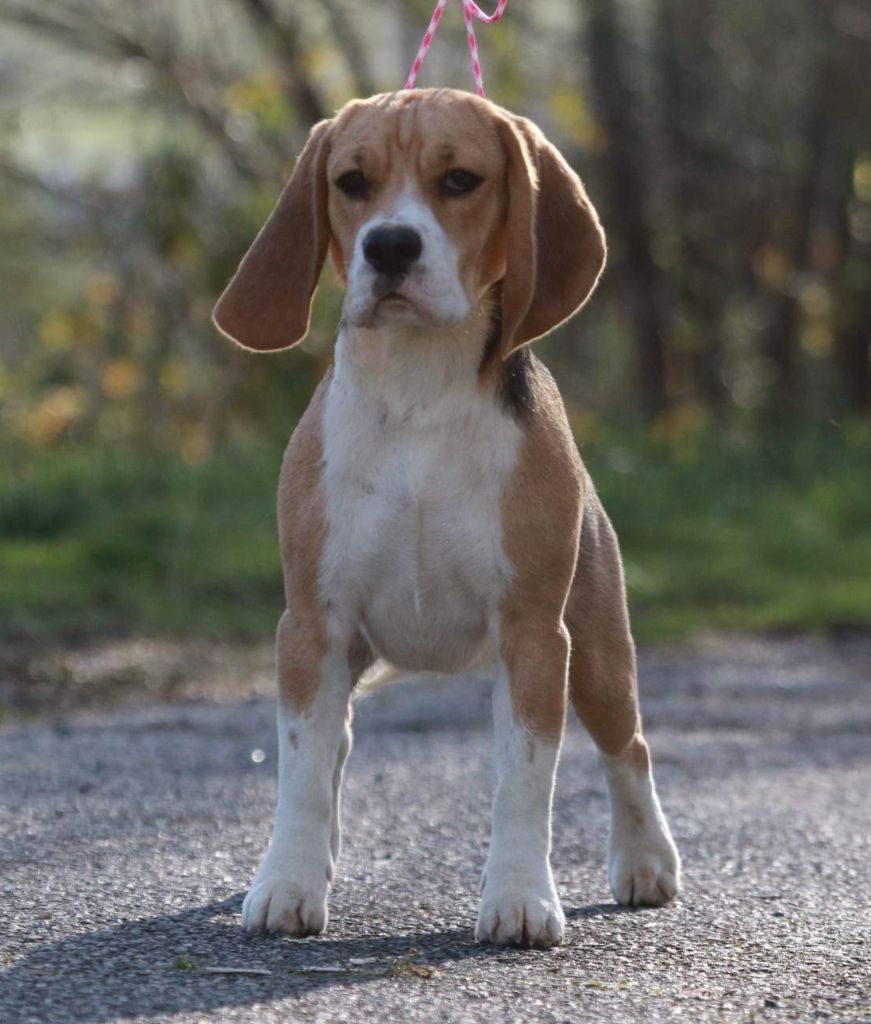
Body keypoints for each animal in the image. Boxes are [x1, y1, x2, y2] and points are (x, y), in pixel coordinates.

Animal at [210, 90, 679, 950]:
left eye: (459, 180)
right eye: (350, 182)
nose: (389, 245)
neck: (417, 390)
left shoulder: (534, 636)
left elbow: (523, 779)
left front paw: (520, 898)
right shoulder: (311, 625)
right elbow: (300, 769)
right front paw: (288, 882)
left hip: (597, 654)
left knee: (626, 746)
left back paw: (645, 861)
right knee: (337, 745)